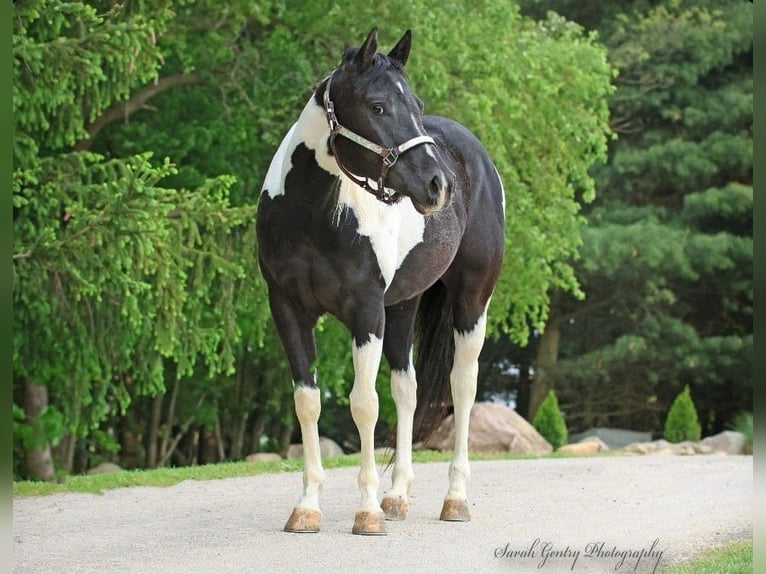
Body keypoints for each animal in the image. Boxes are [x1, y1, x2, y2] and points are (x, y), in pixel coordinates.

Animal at [256, 27, 505, 535]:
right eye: (377, 106)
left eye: (416, 102)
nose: (438, 185)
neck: (311, 218)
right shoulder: (287, 310)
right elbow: (308, 401)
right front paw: (307, 506)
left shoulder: (365, 311)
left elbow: (363, 404)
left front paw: (366, 511)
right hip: (403, 306)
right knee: (407, 389)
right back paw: (398, 496)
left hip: (472, 301)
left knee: (462, 387)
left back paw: (454, 499)